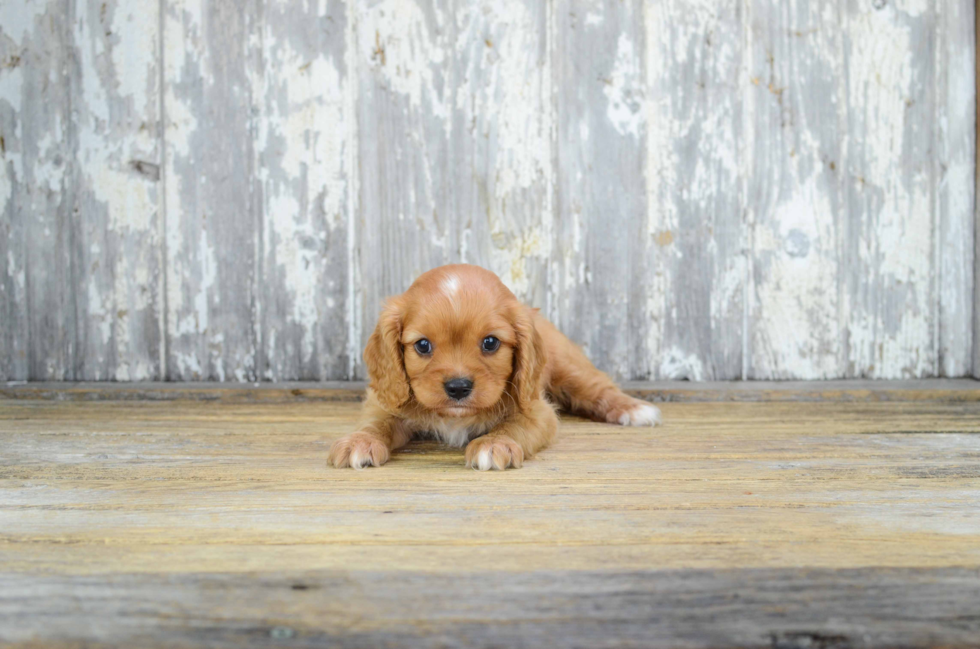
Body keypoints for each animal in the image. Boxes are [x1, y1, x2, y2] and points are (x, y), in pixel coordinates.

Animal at [330, 264, 660, 470]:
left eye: (490, 343)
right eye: (422, 345)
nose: (458, 388)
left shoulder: (537, 411)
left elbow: (512, 425)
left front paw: (493, 444)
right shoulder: (383, 401)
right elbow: (376, 423)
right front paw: (360, 441)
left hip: (571, 370)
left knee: (599, 389)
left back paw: (634, 409)